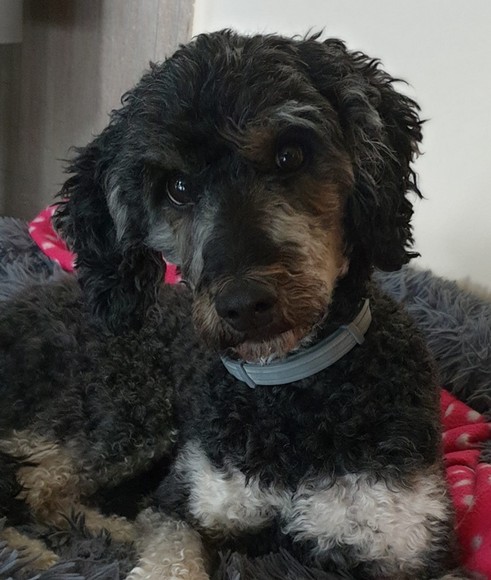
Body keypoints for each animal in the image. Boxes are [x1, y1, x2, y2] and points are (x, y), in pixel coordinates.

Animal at [0, 30, 467, 579]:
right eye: (177, 187)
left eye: (291, 155)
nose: (243, 304)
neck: (290, 395)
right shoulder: (185, 503)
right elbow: (169, 552)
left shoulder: (408, 545)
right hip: (124, 406)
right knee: (39, 485)